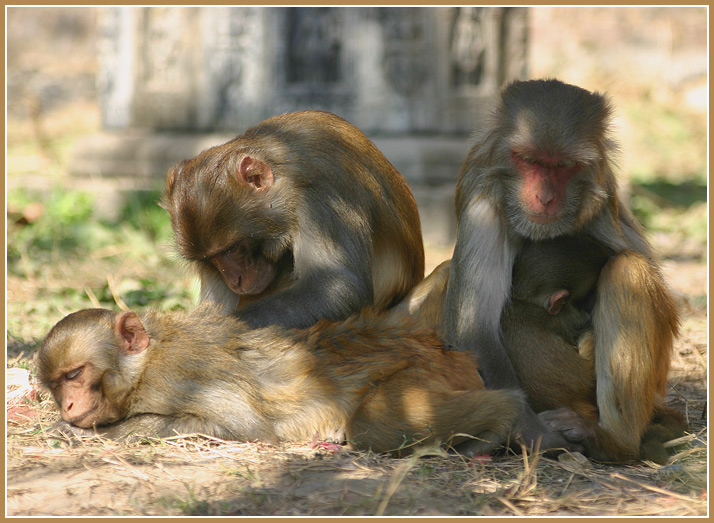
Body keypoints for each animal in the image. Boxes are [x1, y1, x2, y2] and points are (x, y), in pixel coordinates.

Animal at [34, 304, 524, 456]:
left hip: (421, 374)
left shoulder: (180, 372)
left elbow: (244, 427)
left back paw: (505, 416)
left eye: (75, 374)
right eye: (57, 385)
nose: (69, 404)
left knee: (378, 425)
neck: (143, 368)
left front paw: (93, 434)